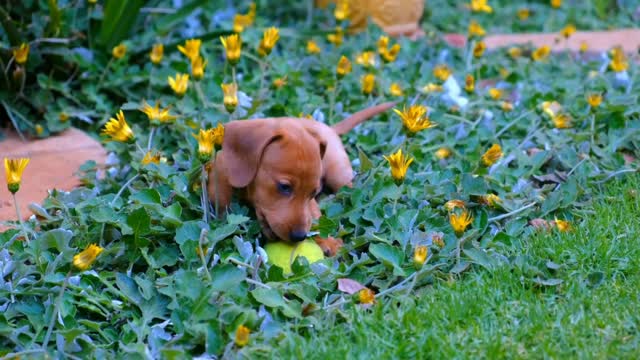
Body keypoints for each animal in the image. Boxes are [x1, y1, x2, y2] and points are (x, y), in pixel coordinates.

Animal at [208, 102, 392, 256]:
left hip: (339, 173)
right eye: (284, 187)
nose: (300, 236)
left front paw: (328, 241)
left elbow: (315, 215)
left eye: (313, 193)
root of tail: (327, 128)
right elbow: (221, 199)